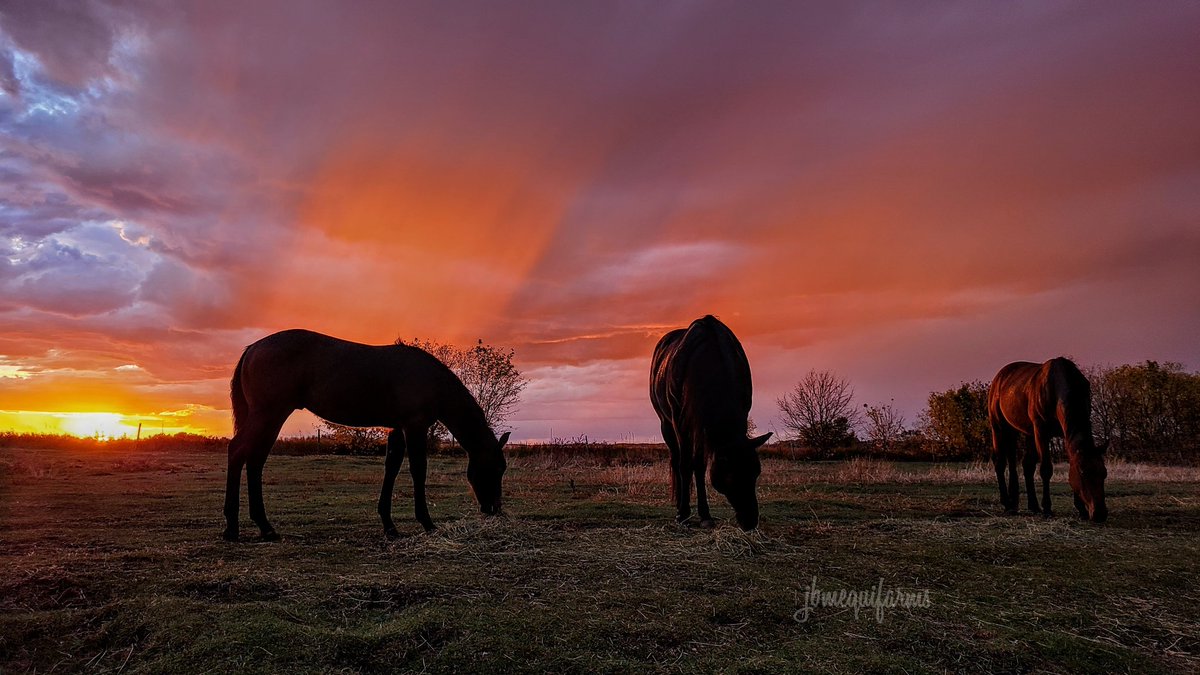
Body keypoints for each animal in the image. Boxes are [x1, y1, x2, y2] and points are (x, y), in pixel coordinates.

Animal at [222, 329, 510, 541]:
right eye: (496, 469)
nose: (494, 509)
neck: (430, 380)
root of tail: (253, 348)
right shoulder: (414, 427)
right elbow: (418, 470)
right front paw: (427, 522)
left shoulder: (397, 428)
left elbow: (391, 467)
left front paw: (389, 526)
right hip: (268, 414)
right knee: (237, 452)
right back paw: (232, 529)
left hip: (271, 418)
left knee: (255, 461)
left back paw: (265, 527)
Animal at [650, 315, 772, 530]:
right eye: (732, 473)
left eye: (756, 472)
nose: (750, 521)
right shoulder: (681, 423)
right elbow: (685, 465)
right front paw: (683, 514)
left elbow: (700, 466)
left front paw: (705, 515)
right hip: (666, 425)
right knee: (677, 460)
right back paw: (680, 507)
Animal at [987, 357, 1108, 522]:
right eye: (1083, 473)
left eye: (1104, 473)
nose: (1100, 513)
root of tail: (999, 377)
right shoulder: (1041, 430)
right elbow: (1045, 469)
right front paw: (1047, 508)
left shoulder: (1062, 433)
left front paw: (1080, 509)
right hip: (999, 426)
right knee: (1000, 462)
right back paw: (1007, 503)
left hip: (1024, 432)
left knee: (1022, 464)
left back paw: (1026, 504)